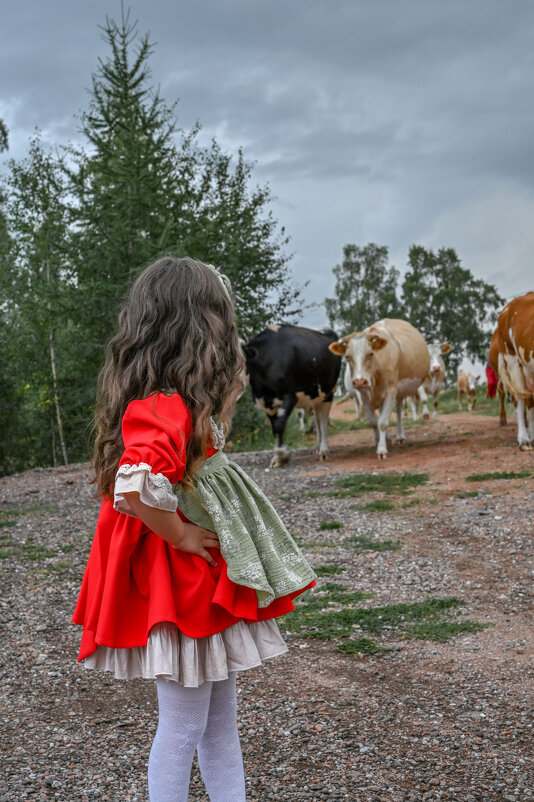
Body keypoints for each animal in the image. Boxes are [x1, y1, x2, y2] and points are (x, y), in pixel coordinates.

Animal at [244, 324, 344, 466]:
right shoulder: (267, 403)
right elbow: (275, 428)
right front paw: (277, 457)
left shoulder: (290, 397)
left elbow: (279, 425)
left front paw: (282, 454)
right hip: (315, 396)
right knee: (317, 420)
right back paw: (318, 446)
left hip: (328, 392)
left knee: (324, 420)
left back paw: (324, 450)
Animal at [330, 318, 432, 456]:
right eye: (347, 356)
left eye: (370, 354)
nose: (359, 381)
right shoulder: (363, 397)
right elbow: (374, 422)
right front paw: (381, 440)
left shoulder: (390, 392)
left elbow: (382, 422)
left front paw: (382, 449)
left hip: (398, 392)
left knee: (398, 412)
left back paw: (400, 436)